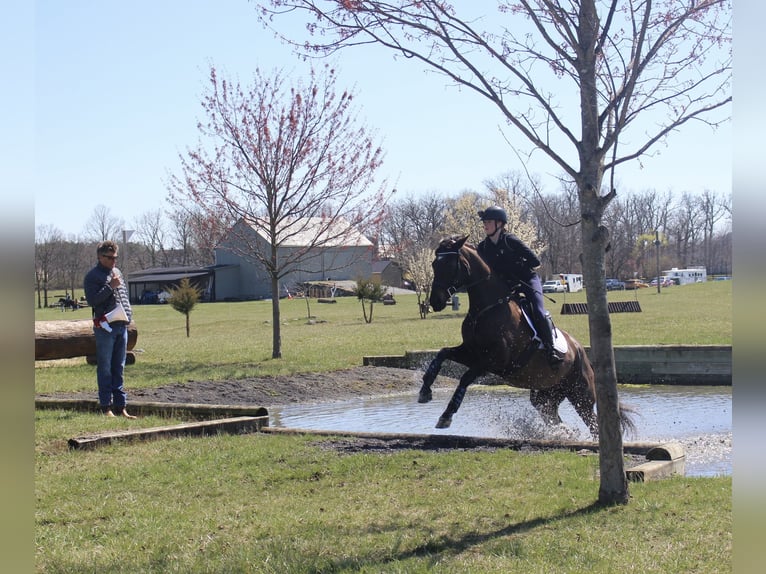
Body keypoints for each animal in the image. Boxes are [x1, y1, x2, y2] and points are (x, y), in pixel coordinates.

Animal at [420, 236, 636, 438]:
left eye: (449, 265)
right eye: (434, 264)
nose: (435, 301)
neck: (486, 308)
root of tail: (581, 352)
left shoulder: (493, 361)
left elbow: (465, 377)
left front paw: (446, 415)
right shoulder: (472, 352)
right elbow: (442, 354)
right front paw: (425, 391)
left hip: (580, 395)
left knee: (593, 425)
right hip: (546, 395)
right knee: (552, 415)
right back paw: (562, 433)